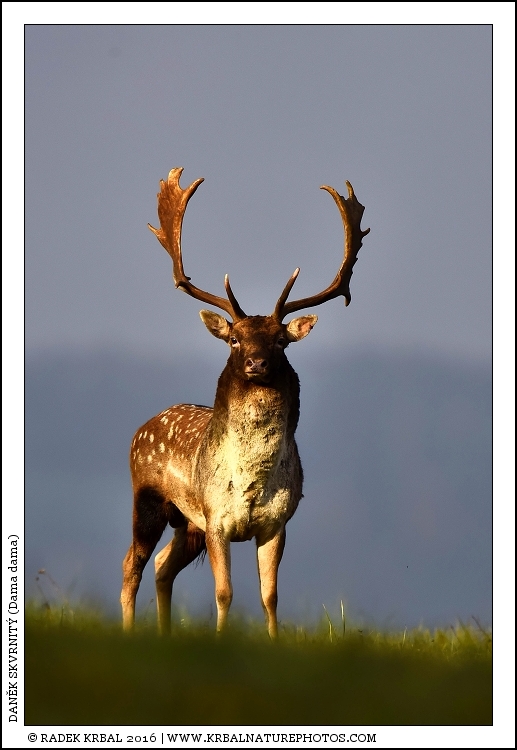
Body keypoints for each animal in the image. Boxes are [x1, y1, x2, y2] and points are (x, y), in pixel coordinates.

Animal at [121, 167, 369, 637]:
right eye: (234, 339)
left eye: (280, 340)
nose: (256, 363)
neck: (251, 483)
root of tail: (142, 428)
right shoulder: (216, 518)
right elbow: (224, 593)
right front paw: (221, 640)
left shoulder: (277, 522)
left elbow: (270, 596)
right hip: (148, 498)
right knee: (132, 565)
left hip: (187, 524)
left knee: (162, 566)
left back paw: (163, 635)